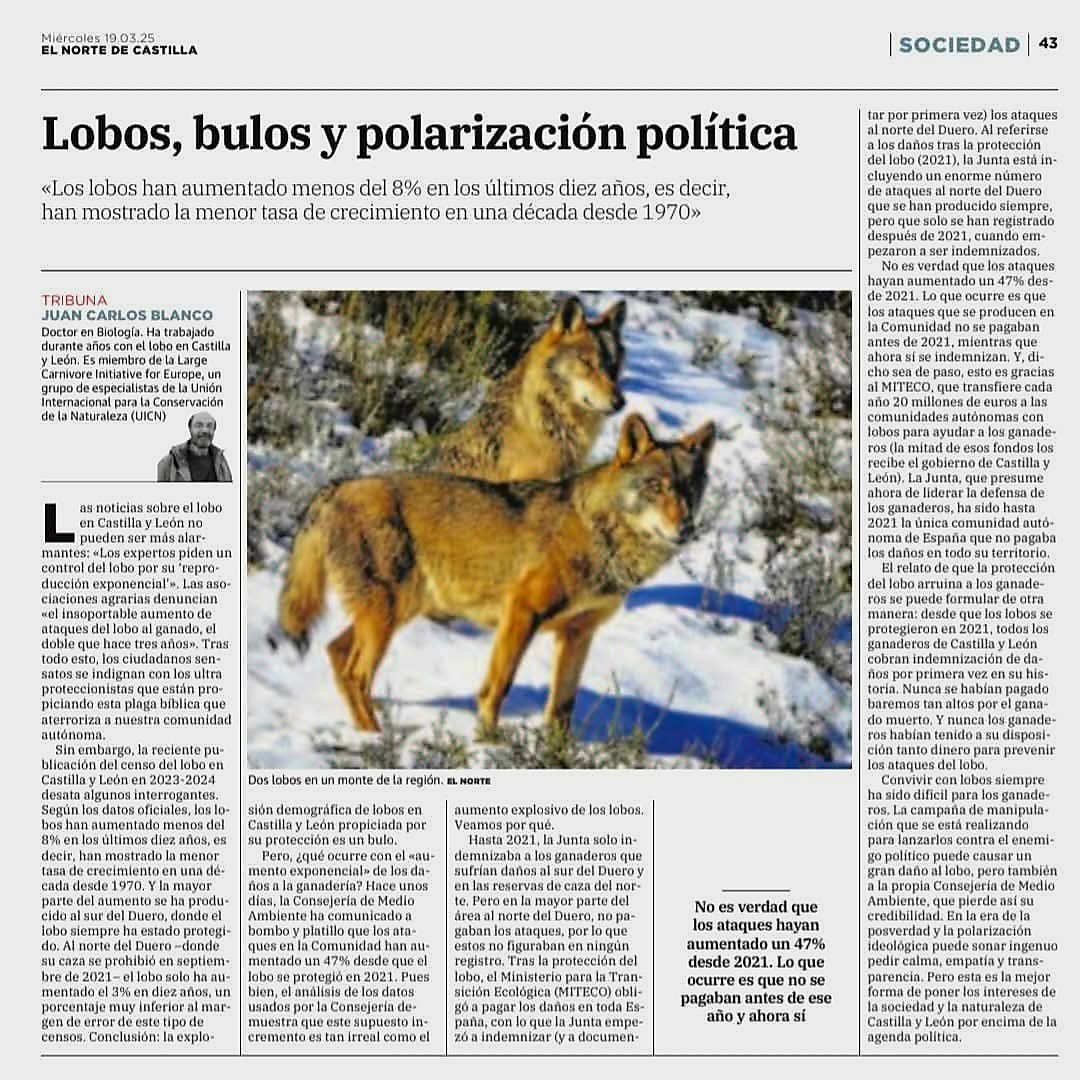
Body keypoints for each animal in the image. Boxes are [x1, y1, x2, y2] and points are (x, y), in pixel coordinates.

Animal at [278, 414, 716, 737]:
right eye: (655, 486)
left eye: (690, 491)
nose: (686, 529)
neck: (601, 538)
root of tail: (335, 487)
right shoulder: (521, 613)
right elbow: (497, 687)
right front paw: (488, 744)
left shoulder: (578, 634)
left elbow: (562, 707)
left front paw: (557, 755)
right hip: (387, 617)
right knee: (356, 673)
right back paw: (376, 738)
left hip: (395, 614)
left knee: (336, 653)